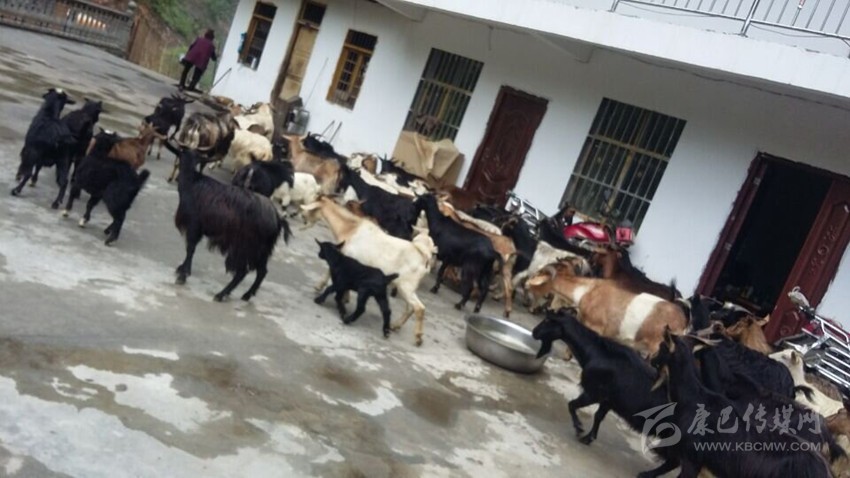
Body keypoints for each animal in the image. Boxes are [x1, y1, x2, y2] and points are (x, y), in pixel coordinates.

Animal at [164, 142, 291, 301]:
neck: (192, 183)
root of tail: (277, 218)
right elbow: (190, 248)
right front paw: (181, 269)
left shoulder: (194, 226)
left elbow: (190, 249)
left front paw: (183, 275)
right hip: (261, 251)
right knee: (262, 271)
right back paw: (246, 295)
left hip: (244, 247)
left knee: (242, 272)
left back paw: (221, 294)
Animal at [300, 197, 436, 346]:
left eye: (311, 206)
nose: (302, 216)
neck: (350, 229)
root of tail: (424, 256)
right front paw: (345, 297)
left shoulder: (347, 258)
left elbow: (330, 271)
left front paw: (320, 287)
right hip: (408, 288)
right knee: (411, 308)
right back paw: (395, 326)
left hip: (405, 286)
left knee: (419, 308)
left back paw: (418, 338)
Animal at [533, 309, 681, 478]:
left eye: (547, 320)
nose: (534, 332)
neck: (596, 353)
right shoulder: (608, 400)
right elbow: (598, 416)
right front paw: (588, 438)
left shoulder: (593, 392)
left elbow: (571, 405)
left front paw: (579, 429)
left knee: (673, 461)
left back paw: (647, 473)